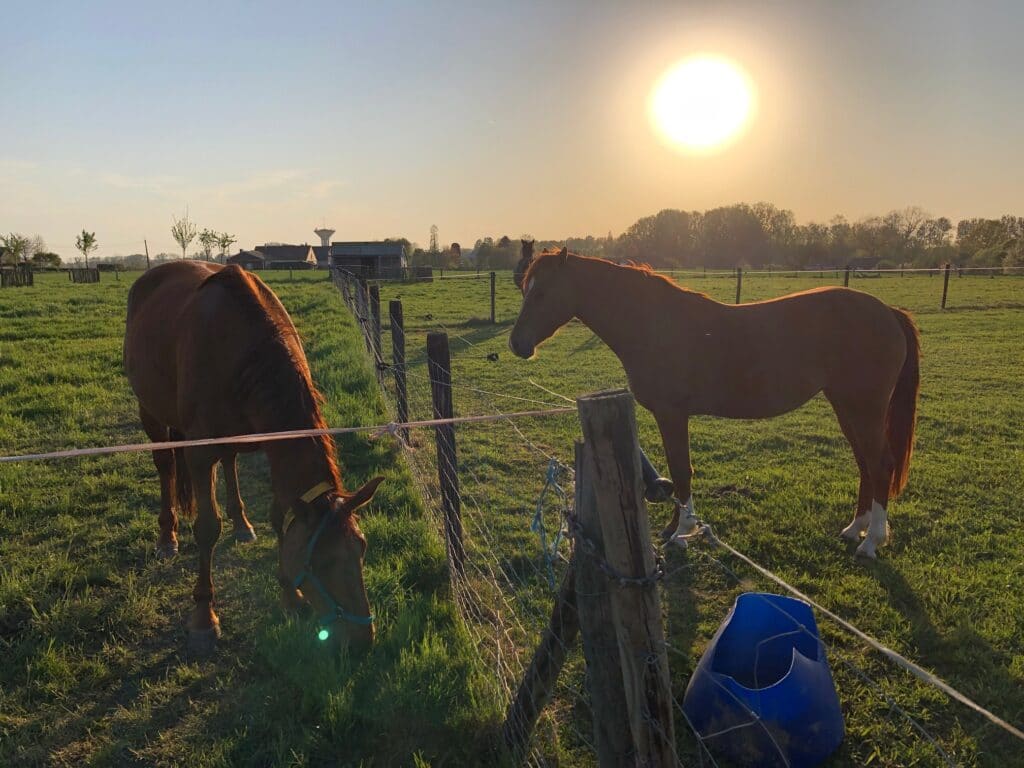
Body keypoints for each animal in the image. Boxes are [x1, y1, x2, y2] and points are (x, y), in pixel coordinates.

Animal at [124, 261, 382, 653]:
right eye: (320, 563)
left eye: (362, 548)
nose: (361, 642)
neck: (243, 349)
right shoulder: (199, 454)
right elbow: (207, 528)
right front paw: (204, 617)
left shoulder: (270, 443)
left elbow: (278, 517)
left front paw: (291, 597)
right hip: (151, 414)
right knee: (166, 467)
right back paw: (167, 537)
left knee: (229, 462)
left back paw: (242, 524)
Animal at [509, 249, 920, 559]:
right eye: (525, 288)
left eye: (542, 293)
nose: (517, 344)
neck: (653, 325)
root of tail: (888, 312)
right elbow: (678, 474)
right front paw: (674, 529)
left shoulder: (672, 413)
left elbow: (681, 471)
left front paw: (681, 532)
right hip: (847, 407)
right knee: (866, 465)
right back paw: (855, 529)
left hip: (863, 409)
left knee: (880, 465)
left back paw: (871, 543)